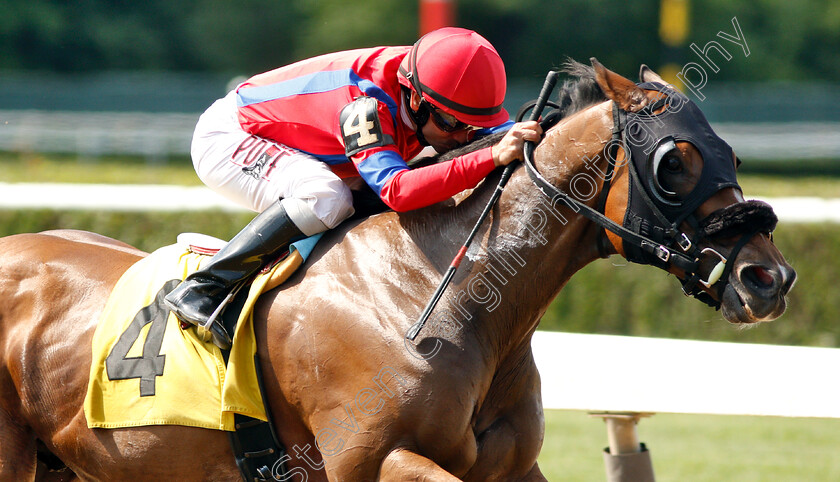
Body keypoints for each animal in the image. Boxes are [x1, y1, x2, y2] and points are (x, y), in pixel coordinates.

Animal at [0, 61, 796, 482]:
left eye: (730, 152)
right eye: (674, 164)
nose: (770, 279)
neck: (436, 299)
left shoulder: (508, 466)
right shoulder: (369, 462)